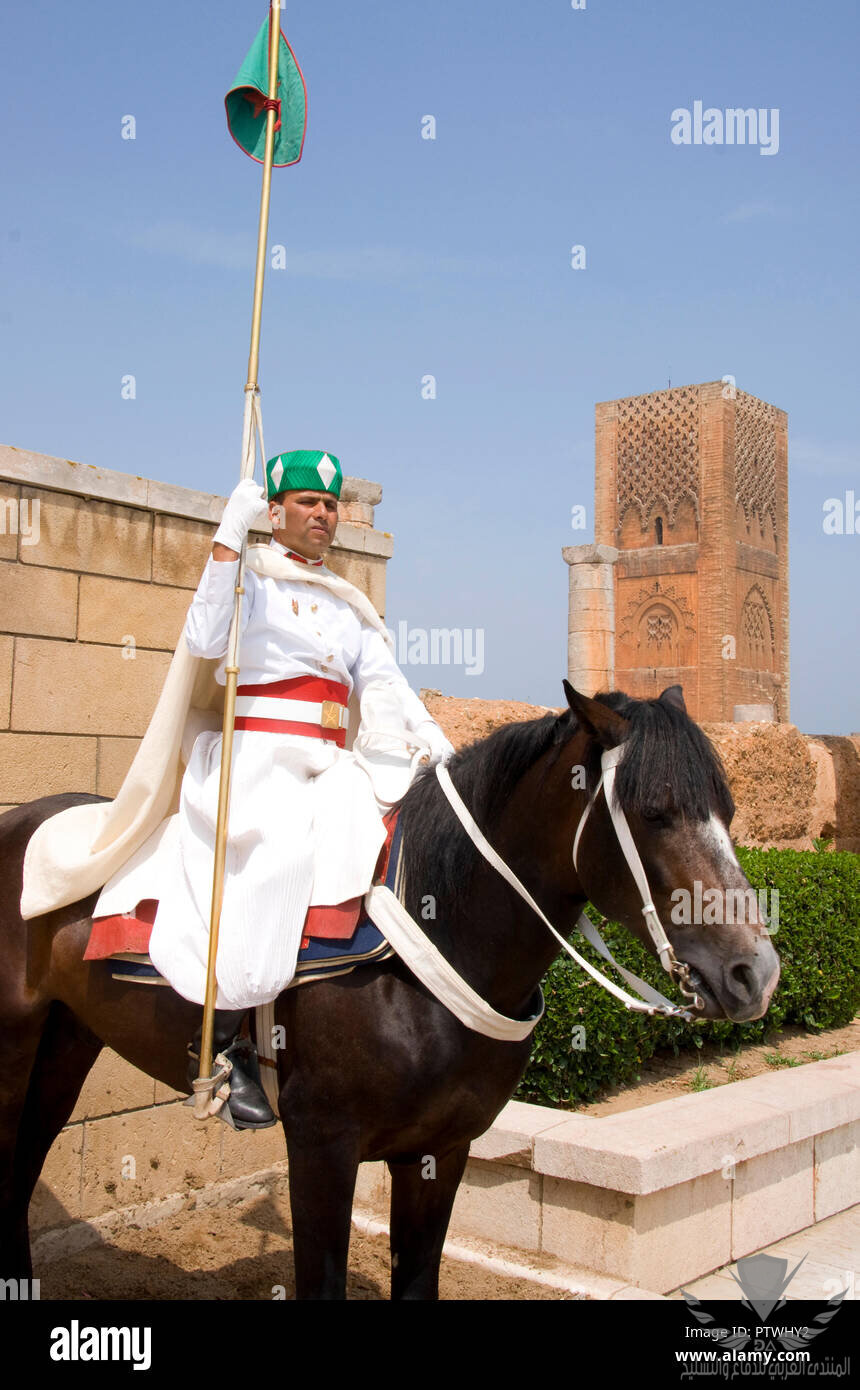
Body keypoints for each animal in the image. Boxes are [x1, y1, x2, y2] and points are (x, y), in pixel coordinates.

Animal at [0, 683, 778, 1289]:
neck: (429, 956)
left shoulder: (441, 1150)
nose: (756, 973)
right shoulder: (321, 1145)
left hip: (67, 1041)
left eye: (729, 810)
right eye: (654, 812)